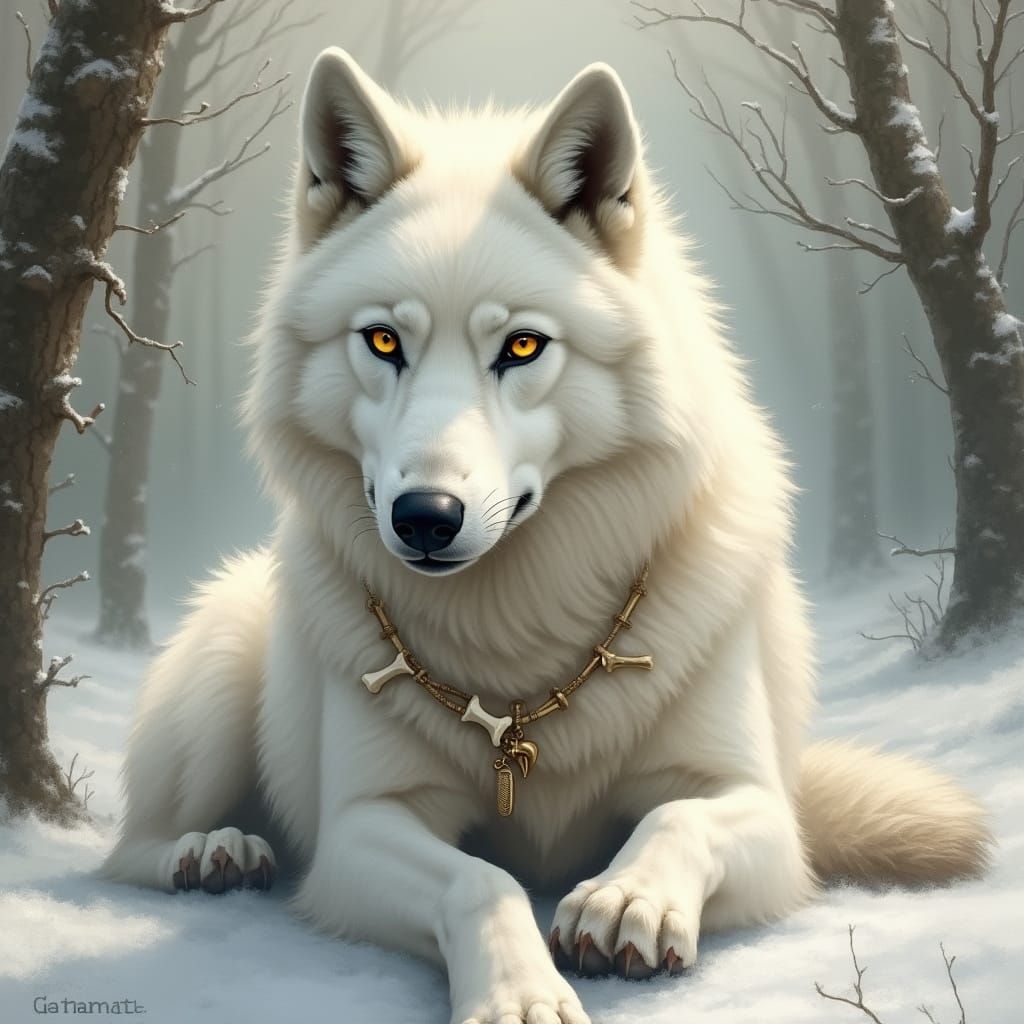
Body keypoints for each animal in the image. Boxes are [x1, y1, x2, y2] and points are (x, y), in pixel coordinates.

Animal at [102, 49, 992, 1024]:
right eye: (383, 341)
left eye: (523, 348)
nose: (425, 516)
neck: (516, 638)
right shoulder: (363, 825)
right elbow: (479, 879)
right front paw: (521, 994)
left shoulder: (754, 807)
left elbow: (677, 816)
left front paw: (626, 898)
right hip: (224, 665)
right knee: (132, 846)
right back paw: (213, 851)